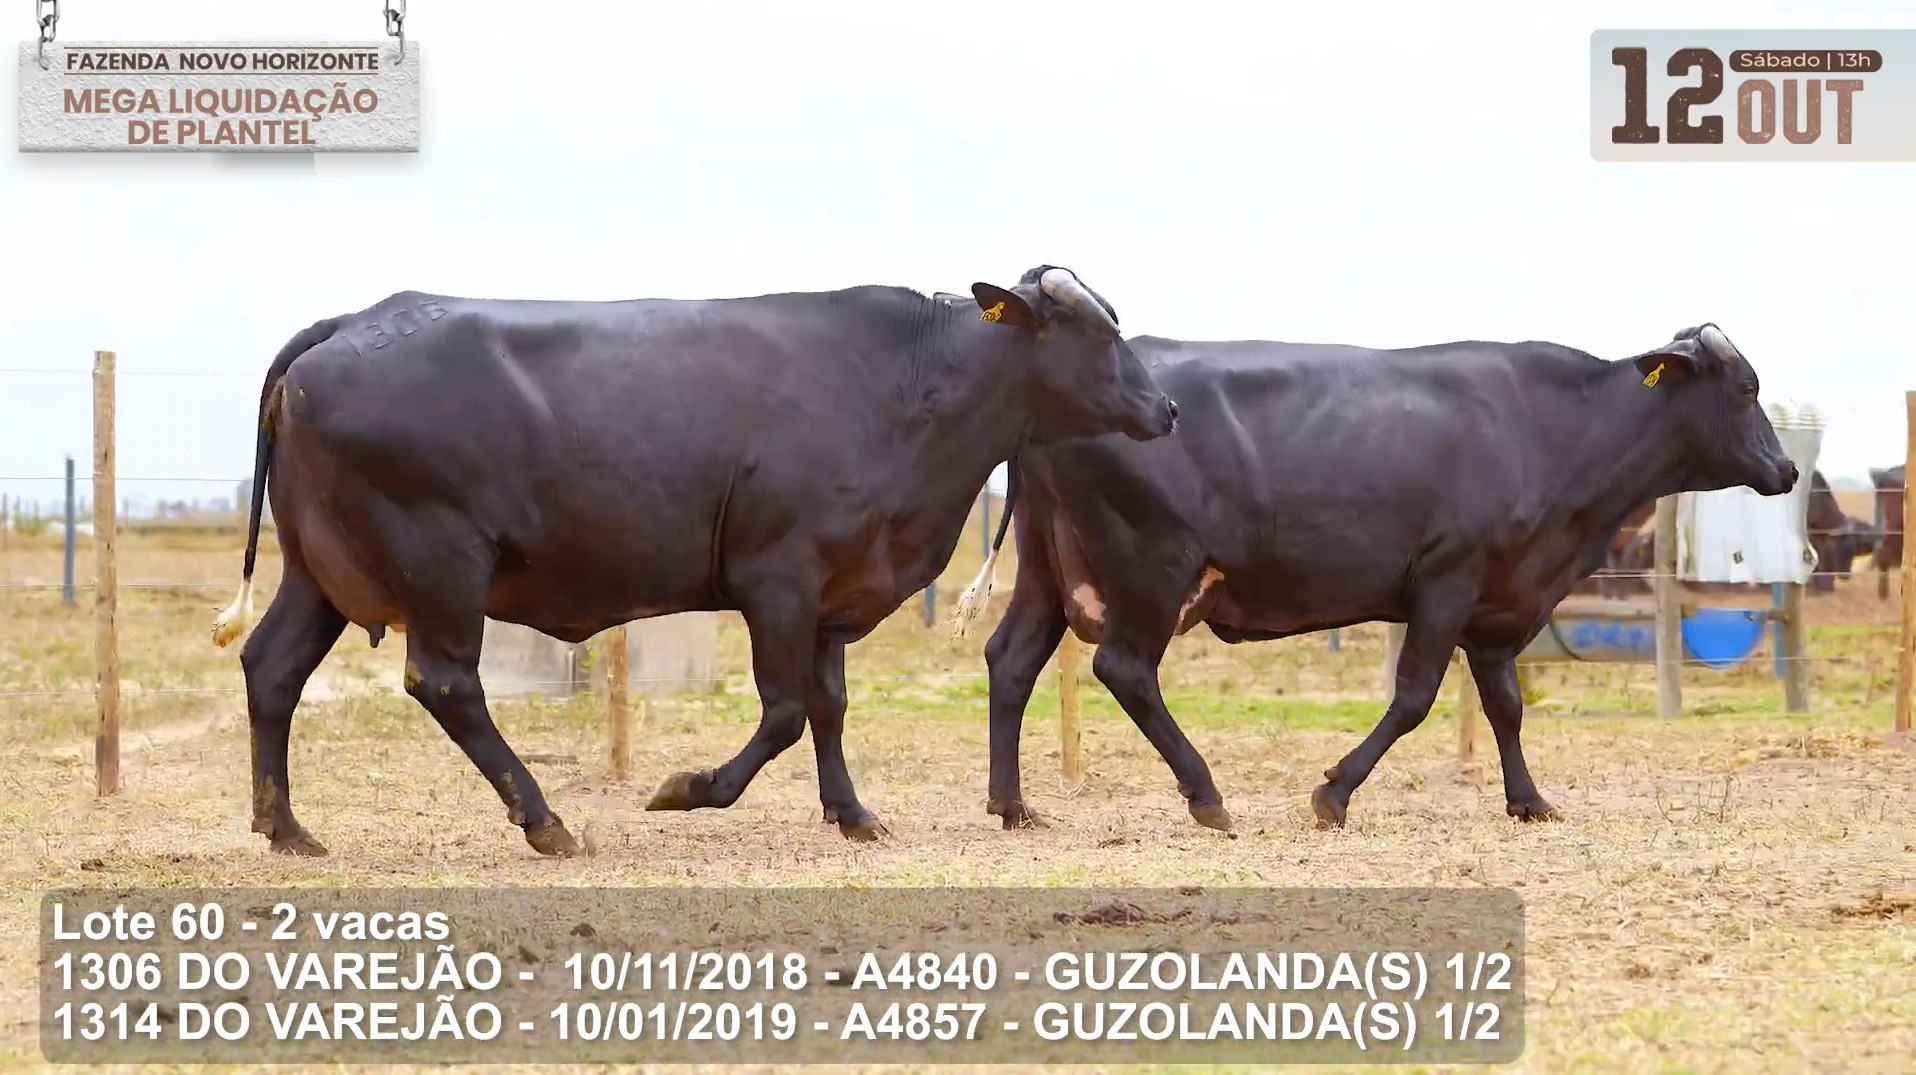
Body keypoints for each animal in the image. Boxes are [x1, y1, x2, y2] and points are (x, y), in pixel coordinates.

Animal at [207, 265, 1177, 858]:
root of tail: (355, 321)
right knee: (446, 683)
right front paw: (690, 787)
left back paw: (284, 824)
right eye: (1093, 331)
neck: (906, 384)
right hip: (439, 564)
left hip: (321, 572)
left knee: (273, 667)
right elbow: (785, 710)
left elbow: (828, 705)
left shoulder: (834, 591)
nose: (1164, 407)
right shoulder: (777, 580)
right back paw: (546, 820)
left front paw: (852, 812)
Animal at [955, 324, 1797, 833]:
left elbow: (1506, 705)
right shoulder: (1448, 580)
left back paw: (1013, 803)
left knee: (1012, 661)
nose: (1787, 468)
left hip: (1047, 571)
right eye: (1747, 388)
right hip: (1153, 570)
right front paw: (1333, 791)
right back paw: (1207, 794)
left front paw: (1528, 799)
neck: (1557, 428)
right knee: (1125, 669)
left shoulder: (1498, 602)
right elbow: (1416, 695)